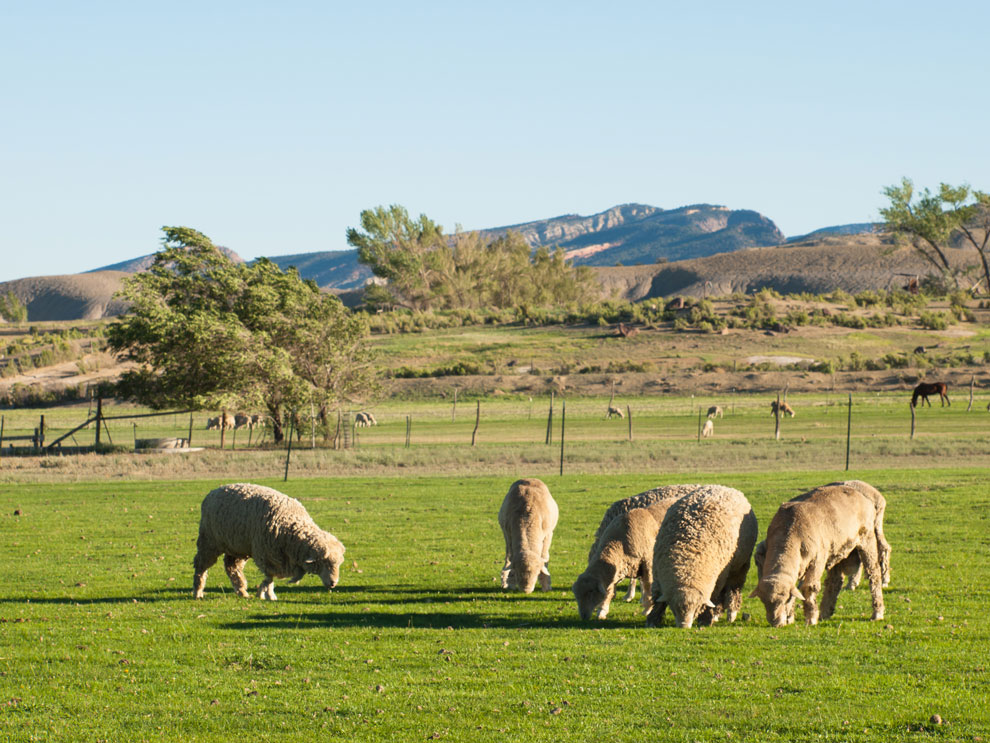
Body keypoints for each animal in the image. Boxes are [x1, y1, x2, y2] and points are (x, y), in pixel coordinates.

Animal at [192, 483, 345, 601]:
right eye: (323, 563)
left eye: (338, 564)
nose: (333, 583)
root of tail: (214, 491)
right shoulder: (267, 555)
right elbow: (270, 577)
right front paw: (268, 594)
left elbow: (269, 577)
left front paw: (262, 592)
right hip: (209, 541)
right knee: (201, 565)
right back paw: (198, 592)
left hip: (236, 546)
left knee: (232, 567)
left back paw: (242, 592)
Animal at [646, 485, 757, 629]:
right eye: (674, 608)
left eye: (696, 607)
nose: (684, 626)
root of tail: (726, 487)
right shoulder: (658, 575)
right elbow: (657, 597)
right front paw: (652, 619)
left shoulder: (717, 578)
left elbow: (713, 597)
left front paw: (705, 619)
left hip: (739, 566)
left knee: (733, 588)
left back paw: (730, 613)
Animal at [748, 484, 885, 627]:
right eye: (763, 601)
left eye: (785, 600)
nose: (776, 623)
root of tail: (860, 493)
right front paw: (790, 617)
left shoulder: (817, 560)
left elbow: (809, 588)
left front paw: (810, 618)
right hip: (836, 548)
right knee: (834, 580)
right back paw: (825, 612)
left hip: (867, 538)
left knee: (874, 573)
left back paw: (877, 612)